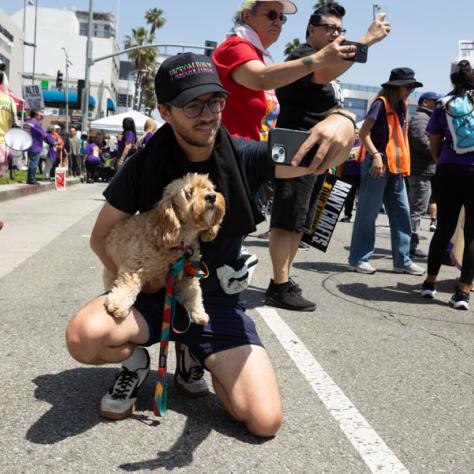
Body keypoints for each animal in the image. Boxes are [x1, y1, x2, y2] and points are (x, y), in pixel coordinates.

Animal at [103, 174, 225, 326]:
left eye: (209, 188)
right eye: (189, 193)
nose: (212, 196)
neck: (180, 242)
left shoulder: (188, 273)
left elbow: (193, 293)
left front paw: (199, 313)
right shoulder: (136, 265)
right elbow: (127, 283)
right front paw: (118, 303)